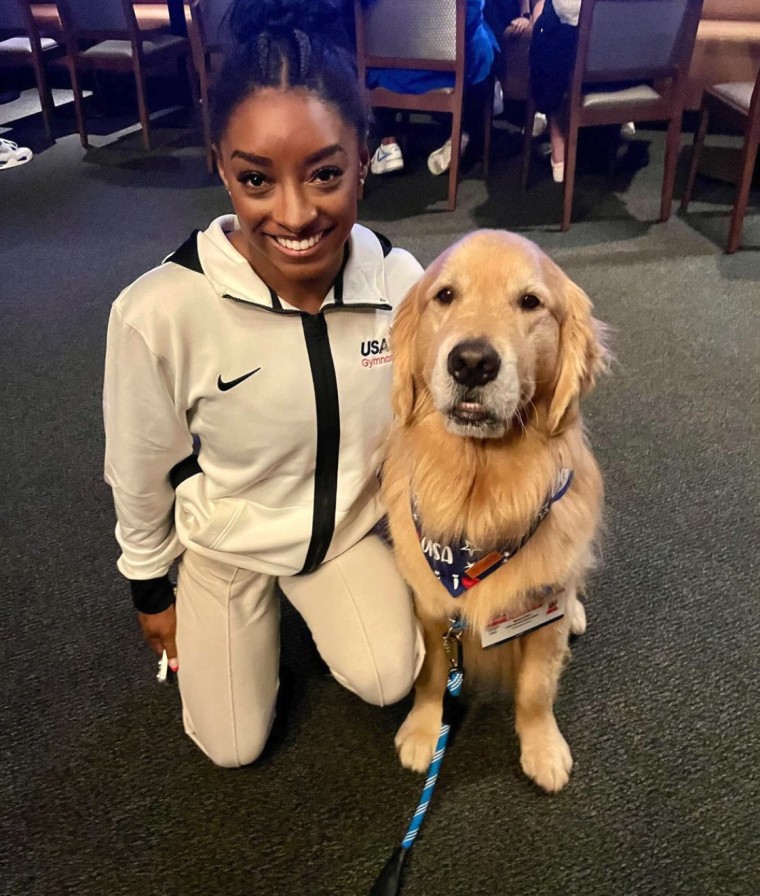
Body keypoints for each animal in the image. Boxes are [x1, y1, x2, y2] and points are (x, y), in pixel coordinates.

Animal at [382, 229, 608, 792]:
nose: (471, 361)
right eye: (445, 295)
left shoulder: (541, 611)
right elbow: (431, 675)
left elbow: (536, 688)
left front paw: (542, 746)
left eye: (530, 302)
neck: (479, 496)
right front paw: (424, 730)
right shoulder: (432, 604)